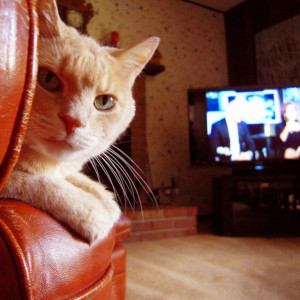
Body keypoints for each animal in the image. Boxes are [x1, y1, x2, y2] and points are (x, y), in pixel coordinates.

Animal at [0, 0, 159, 244]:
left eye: (104, 101)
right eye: (48, 79)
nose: (73, 121)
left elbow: (74, 177)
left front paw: (103, 197)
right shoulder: (11, 179)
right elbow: (36, 182)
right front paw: (89, 209)